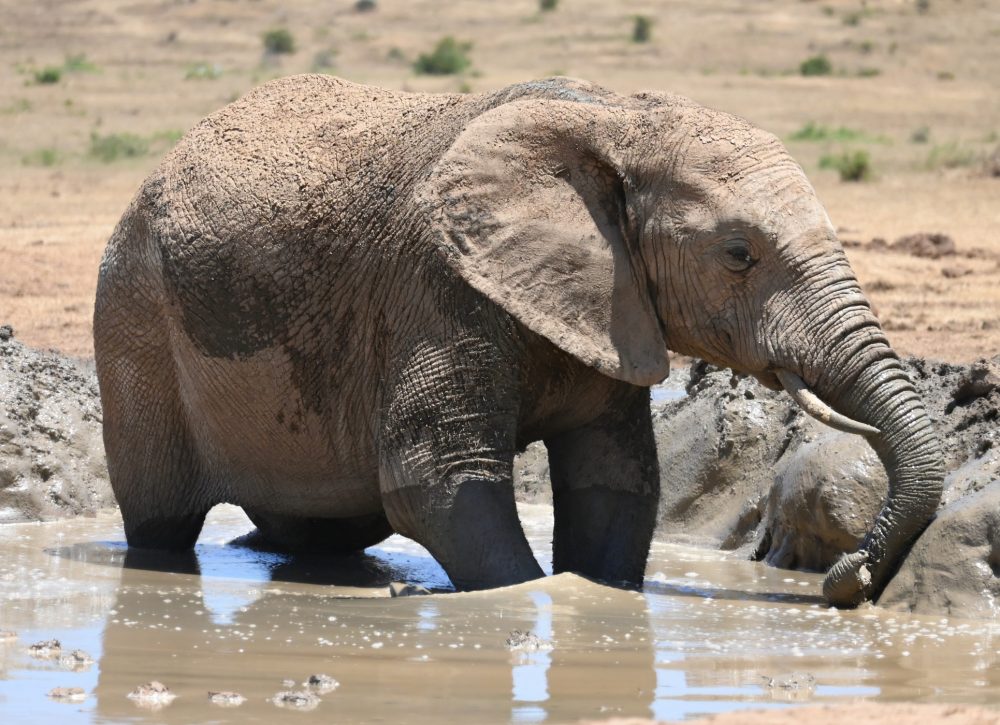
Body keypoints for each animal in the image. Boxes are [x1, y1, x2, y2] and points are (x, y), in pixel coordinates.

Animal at [93, 75, 943, 605]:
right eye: (739, 254)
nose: (844, 579)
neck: (615, 119)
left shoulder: (611, 303)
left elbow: (616, 484)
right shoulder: (438, 284)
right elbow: (438, 483)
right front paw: (536, 601)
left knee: (330, 524)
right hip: (133, 312)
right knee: (162, 520)